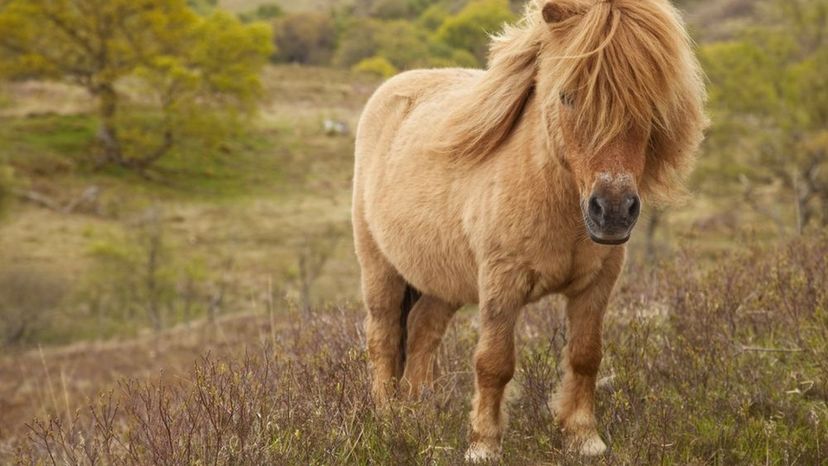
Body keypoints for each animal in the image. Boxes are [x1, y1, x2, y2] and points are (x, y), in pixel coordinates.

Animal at [350, 0, 704, 458]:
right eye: (568, 96)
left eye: (649, 101)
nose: (612, 211)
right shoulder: (501, 286)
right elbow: (494, 363)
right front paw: (483, 446)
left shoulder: (597, 285)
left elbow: (585, 356)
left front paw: (584, 438)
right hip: (380, 269)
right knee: (383, 337)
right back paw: (387, 420)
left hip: (442, 282)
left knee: (424, 331)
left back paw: (417, 417)